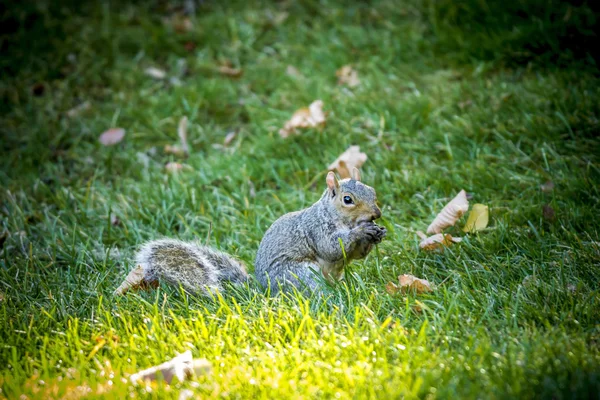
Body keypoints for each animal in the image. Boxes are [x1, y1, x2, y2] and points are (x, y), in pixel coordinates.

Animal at [116, 166, 384, 296]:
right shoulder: (316, 229)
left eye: (372, 190)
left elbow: (354, 255)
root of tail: (265, 290)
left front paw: (377, 234)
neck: (336, 217)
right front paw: (361, 233)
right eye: (347, 200)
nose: (377, 214)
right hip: (299, 273)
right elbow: (332, 248)